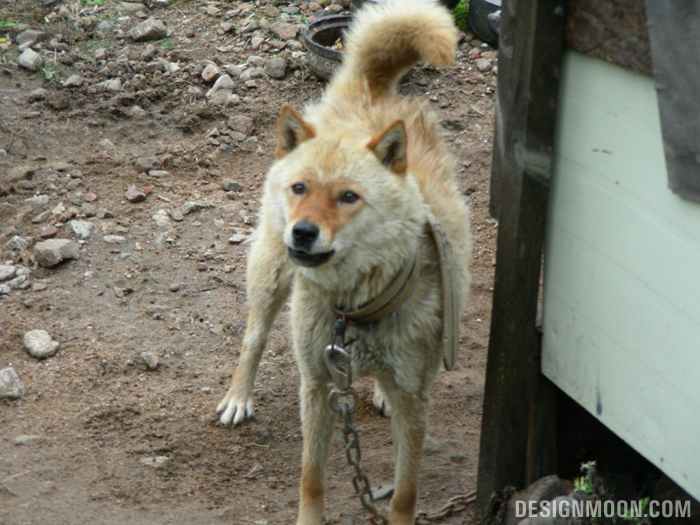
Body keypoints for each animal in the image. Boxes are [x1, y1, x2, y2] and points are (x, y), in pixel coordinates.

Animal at [216, 2, 474, 520]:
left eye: (349, 197)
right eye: (300, 188)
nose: (303, 232)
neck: (357, 307)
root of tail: (369, 92)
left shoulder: (416, 401)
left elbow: (405, 491)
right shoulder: (317, 385)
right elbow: (311, 478)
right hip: (270, 274)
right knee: (253, 338)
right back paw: (238, 395)